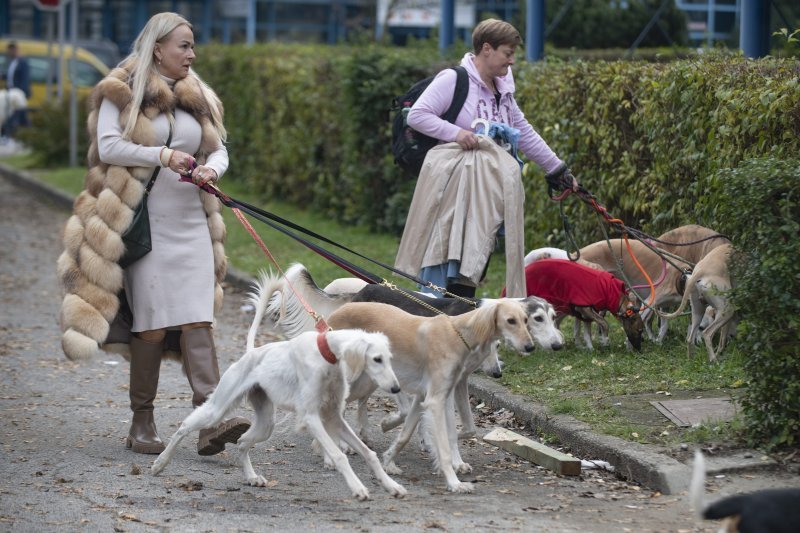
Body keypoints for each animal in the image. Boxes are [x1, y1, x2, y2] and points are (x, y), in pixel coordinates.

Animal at [152, 272, 406, 500]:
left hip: (266, 421)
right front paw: (358, 488)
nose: (396, 389)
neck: (326, 356)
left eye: (389, 358)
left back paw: (251, 477)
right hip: (218, 409)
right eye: (376, 359)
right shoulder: (310, 417)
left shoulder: (333, 416)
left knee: (242, 442)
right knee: (185, 426)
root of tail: (252, 353)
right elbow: (338, 455)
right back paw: (160, 463)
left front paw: (391, 485)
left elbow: (368, 453)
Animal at [324, 298, 536, 492]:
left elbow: (406, 434)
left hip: (367, 381)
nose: (530, 347)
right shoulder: (436, 400)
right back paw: (333, 453)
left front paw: (389, 461)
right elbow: (444, 445)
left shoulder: (428, 396)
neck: (458, 335)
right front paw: (454, 482)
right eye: (510, 320)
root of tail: (337, 310)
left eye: (526, 320)